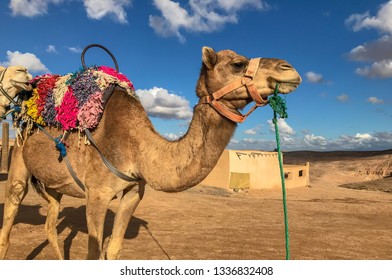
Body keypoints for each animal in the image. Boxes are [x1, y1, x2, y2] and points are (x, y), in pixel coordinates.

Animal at [0, 47, 304, 260]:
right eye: (238, 64)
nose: (289, 69)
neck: (138, 148)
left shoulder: (134, 191)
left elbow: (113, 250)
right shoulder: (97, 193)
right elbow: (94, 253)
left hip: (54, 184)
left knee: (50, 226)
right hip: (19, 158)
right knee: (10, 218)